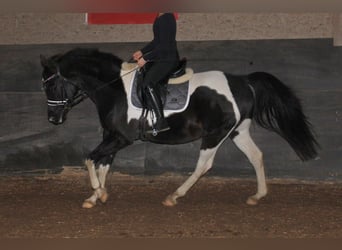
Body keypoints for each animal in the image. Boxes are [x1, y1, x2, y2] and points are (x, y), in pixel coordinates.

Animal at [40, 47, 320, 208]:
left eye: (51, 85)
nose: (53, 119)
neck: (115, 88)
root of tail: (244, 81)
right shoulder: (112, 136)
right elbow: (102, 165)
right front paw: (95, 196)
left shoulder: (121, 138)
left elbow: (90, 159)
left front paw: (98, 192)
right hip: (237, 132)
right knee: (256, 156)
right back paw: (257, 196)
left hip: (216, 134)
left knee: (204, 165)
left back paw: (174, 196)